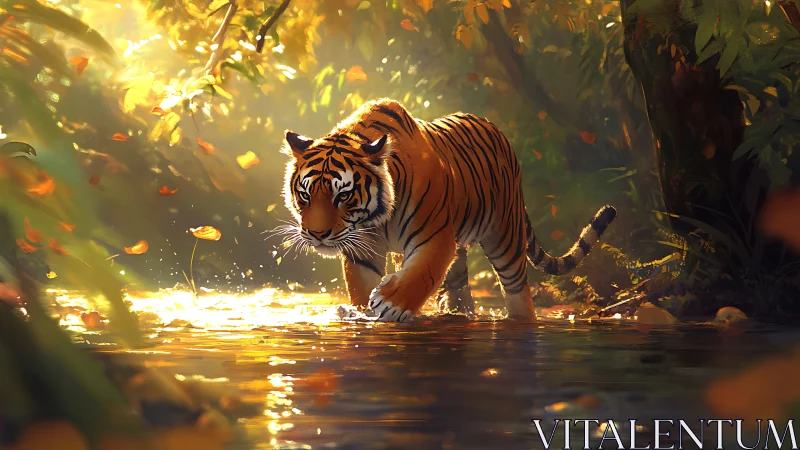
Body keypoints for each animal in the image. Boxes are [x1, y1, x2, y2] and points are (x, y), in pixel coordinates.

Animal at [280, 98, 616, 322]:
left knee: (518, 290)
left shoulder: (435, 238)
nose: (317, 234)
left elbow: (421, 274)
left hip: (505, 238)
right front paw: (361, 313)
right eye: (305, 195)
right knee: (459, 290)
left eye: (343, 195)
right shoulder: (363, 249)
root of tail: (496, 128)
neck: (377, 218)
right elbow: (363, 287)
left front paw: (390, 304)